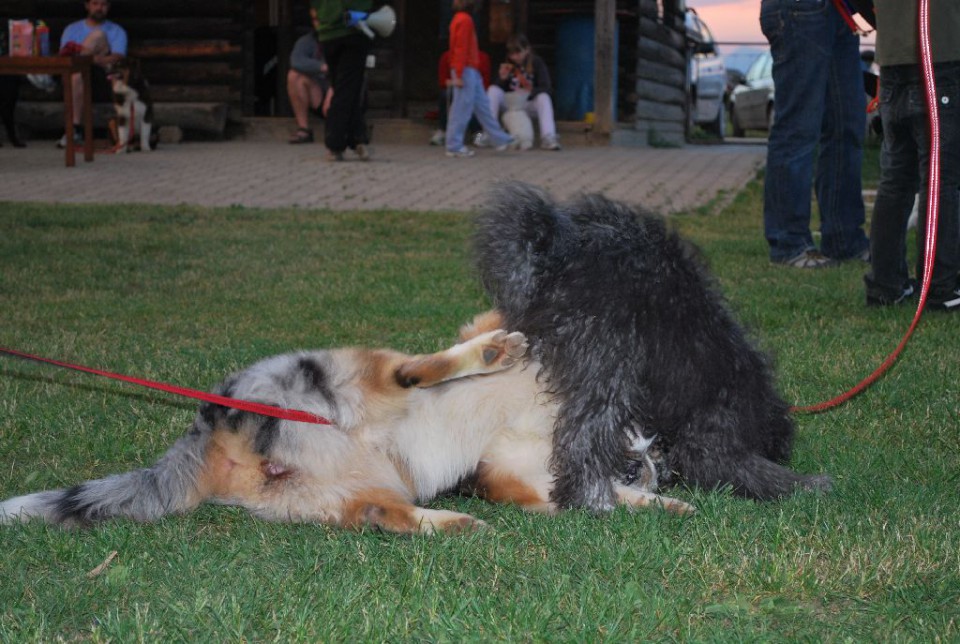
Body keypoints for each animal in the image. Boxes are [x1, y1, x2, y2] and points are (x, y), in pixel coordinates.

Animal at [474, 179, 832, 510]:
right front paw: (808, 485)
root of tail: (557, 250)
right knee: (585, 432)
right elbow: (747, 472)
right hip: (607, 357)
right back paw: (593, 498)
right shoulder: (713, 438)